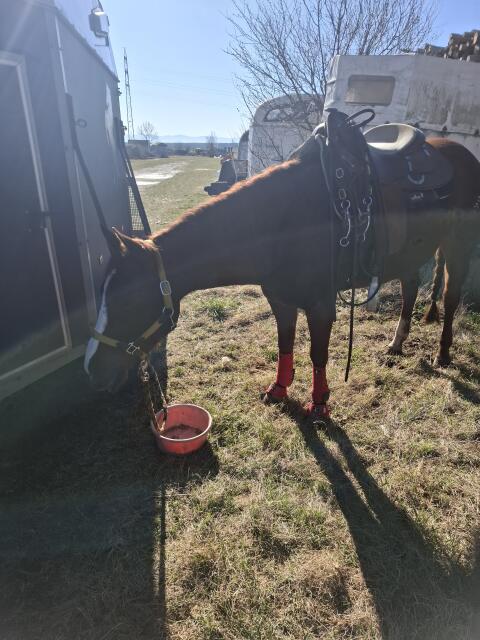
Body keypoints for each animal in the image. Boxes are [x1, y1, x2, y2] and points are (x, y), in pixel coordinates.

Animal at [84, 136, 480, 418]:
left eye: (129, 301)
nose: (92, 369)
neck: (284, 222)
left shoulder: (321, 305)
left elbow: (317, 354)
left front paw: (319, 404)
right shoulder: (281, 299)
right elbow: (285, 346)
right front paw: (278, 390)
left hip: (458, 243)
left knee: (450, 295)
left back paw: (443, 354)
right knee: (413, 288)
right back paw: (396, 344)